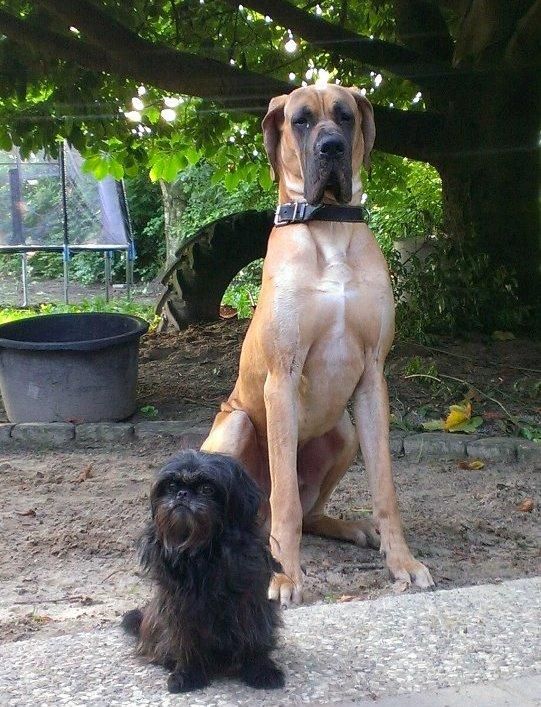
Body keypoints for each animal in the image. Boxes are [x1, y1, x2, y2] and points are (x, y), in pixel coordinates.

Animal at [122, 450, 284, 693]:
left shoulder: (251, 603)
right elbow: (185, 640)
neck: (204, 552)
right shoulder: (179, 608)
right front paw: (187, 673)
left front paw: (261, 669)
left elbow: (256, 636)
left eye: (208, 489)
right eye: (171, 486)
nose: (182, 493)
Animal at [201, 84, 434, 605]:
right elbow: (285, 495)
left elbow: (385, 487)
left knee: (311, 514)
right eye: (301, 120)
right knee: (269, 510)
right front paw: (285, 576)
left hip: (344, 434)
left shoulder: (372, 377)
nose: (332, 148)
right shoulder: (281, 379)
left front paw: (402, 561)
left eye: (346, 117)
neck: (329, 226)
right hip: (235, 429)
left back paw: (352, 528)